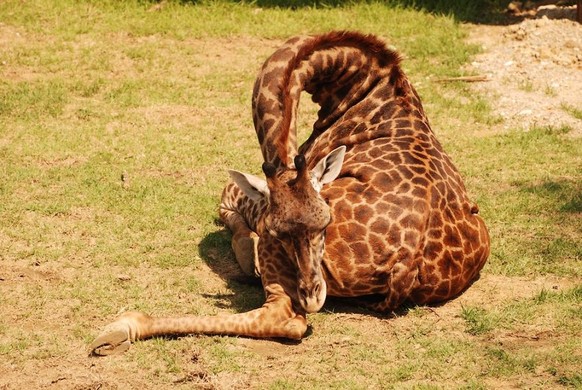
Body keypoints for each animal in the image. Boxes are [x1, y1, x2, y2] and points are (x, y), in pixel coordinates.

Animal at [90, 31, 492, 356]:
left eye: (327, 223)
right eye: (283, 231)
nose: (313, 295)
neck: (366, 91)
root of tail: (407, 263)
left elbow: (230, 193)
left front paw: (245, 249)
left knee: (282, 317)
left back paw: (119, 330)